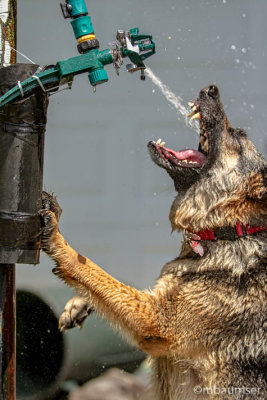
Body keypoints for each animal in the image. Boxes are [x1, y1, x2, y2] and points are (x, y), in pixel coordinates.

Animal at [40, 85, 266, 400]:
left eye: (239, 135)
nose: (211, 89)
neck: (229, 231)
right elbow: (117, 286)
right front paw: (79, 302)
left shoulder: (156, 320)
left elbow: (95, 271)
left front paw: (58, 240)